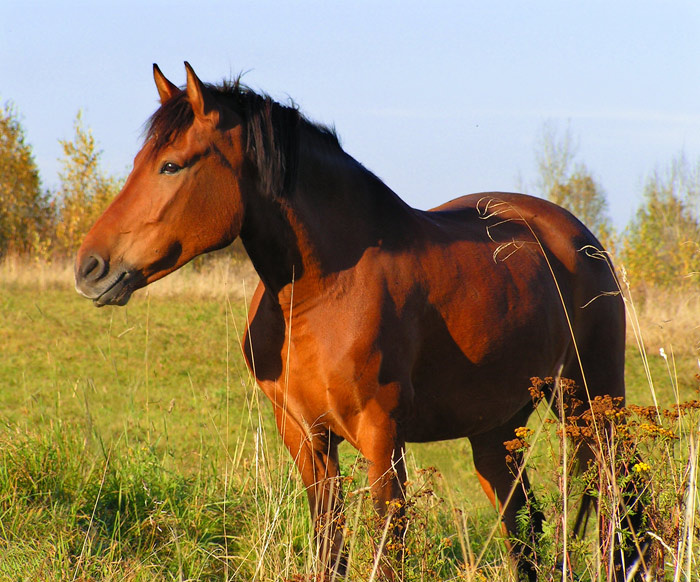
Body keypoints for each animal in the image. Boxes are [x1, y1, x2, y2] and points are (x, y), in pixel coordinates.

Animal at [75, 63, 646, 580]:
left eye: (171, 166)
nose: (90, 267)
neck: (320, 293)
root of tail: (576, 236)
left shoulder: (381, 435)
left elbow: (385, 550)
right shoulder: (304, 436)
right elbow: (329, 546)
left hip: (592, 404)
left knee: (623, 503)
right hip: (497, 429)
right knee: (526, 530)